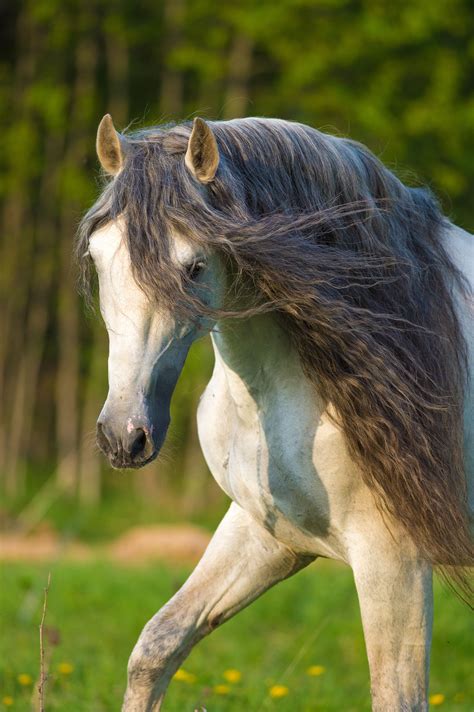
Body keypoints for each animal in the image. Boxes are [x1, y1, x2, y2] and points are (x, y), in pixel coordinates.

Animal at [76, 114, 472, 708]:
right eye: (99, 259)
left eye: (194, 267)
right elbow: (157, 646)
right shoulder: (266, 533)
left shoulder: (394, 559)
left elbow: (396, 695)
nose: (124, 436)